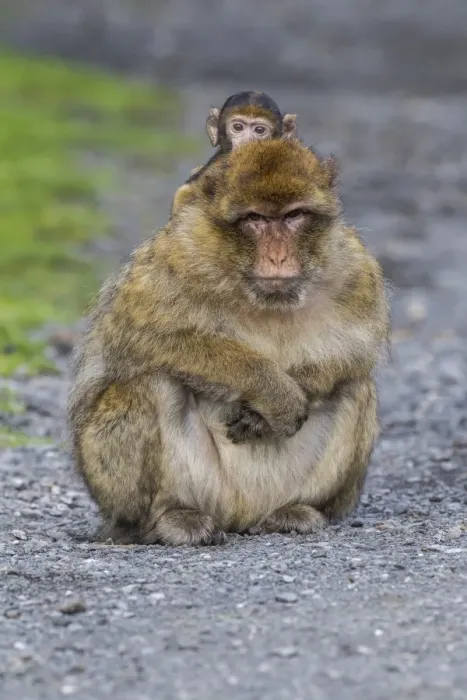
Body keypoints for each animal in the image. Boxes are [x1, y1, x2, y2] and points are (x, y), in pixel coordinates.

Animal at [68, 137, 391, 547]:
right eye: (256, 219)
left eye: (294, 216)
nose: (278, 256)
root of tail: (240, 515)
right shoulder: (178, 254)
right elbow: (142, 339)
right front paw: (275, 394)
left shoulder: (354, 267)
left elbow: (358, 347)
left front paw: (289, 395)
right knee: (147, 382)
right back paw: (169, 519)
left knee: (355, 386)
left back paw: (295, 511)